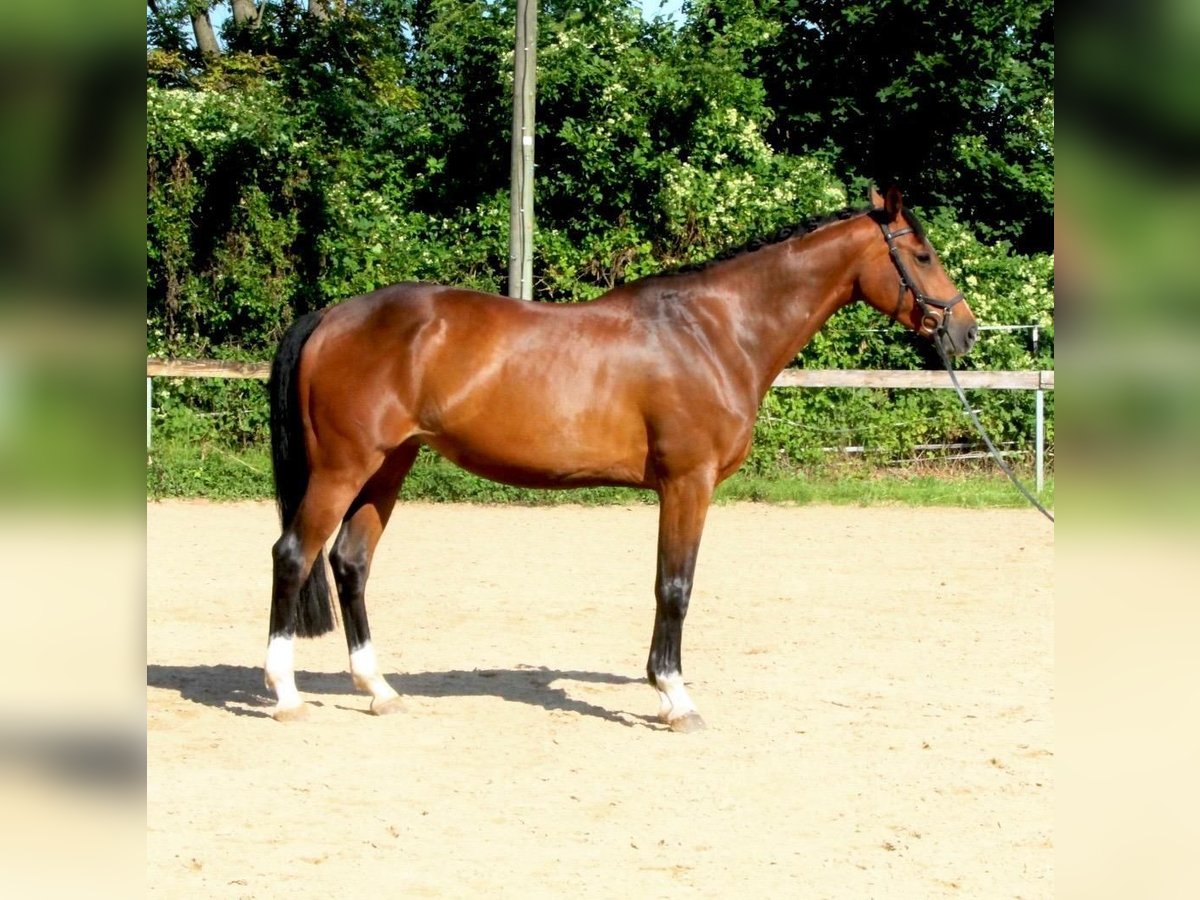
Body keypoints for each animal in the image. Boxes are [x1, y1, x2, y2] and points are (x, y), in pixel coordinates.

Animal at [263, 187, 978, 731]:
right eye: (922, 254)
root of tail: (331, 315)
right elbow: (675, 587)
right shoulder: (688, 484)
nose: (964, 330)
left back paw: (378, 690)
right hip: (344, 468)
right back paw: (287, 694)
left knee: (350, 562)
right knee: (294, 555)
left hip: (389, 465)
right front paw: (675, 698)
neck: (714, 332)